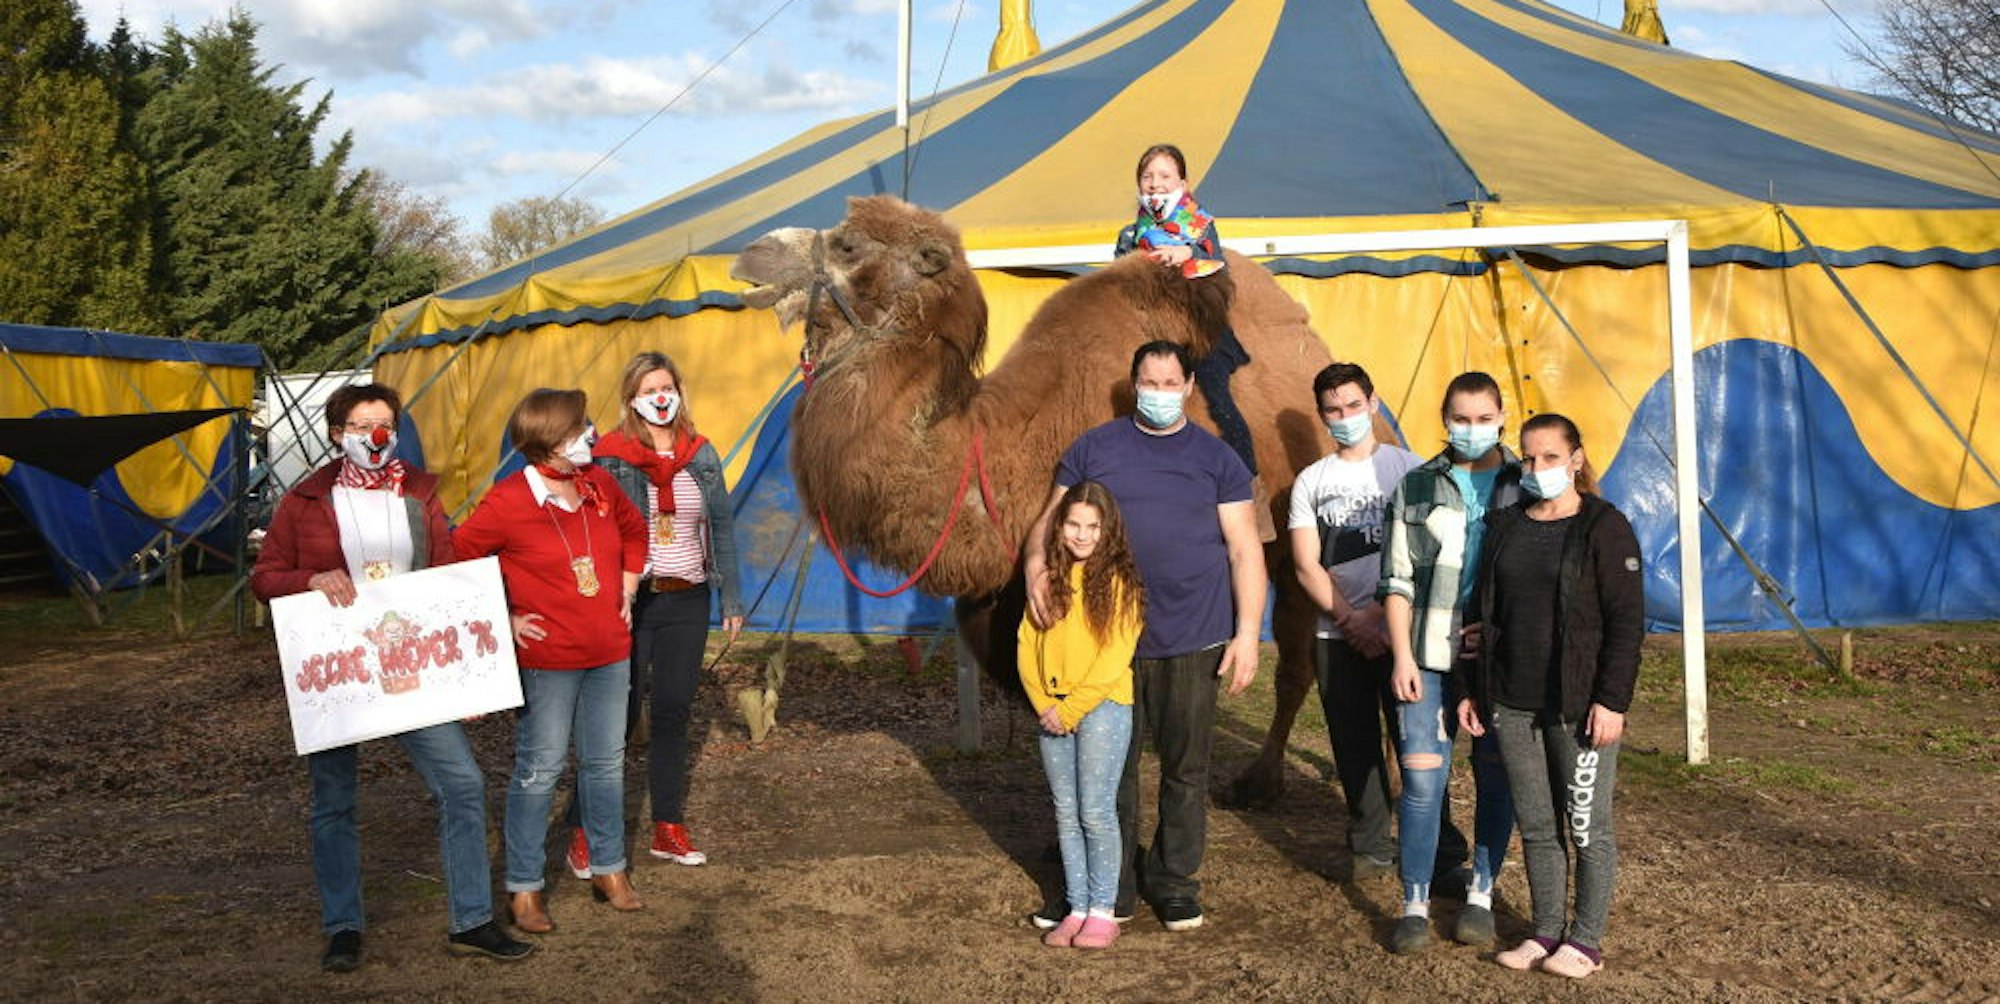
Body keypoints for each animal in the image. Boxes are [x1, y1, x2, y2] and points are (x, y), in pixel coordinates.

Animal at [731, 195, 1345, 807]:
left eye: (847, 245)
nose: (748, 257)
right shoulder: (1001, 605)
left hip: (1295, 540)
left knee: (1297, 662)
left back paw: (1262, 782)